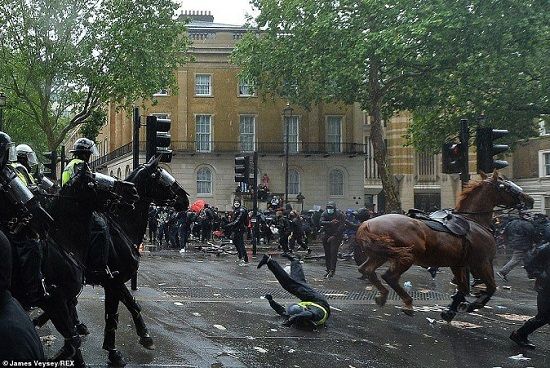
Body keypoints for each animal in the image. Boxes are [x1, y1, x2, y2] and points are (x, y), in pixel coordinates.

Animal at [358, 171, 536, 320]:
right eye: (507, 186)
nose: (530, 199)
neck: (474, 221)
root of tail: (366, 224)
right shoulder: (482, 262)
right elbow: (491, 287)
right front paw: (473, 305)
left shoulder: (458, 264)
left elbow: (463, 288)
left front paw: (450, 311)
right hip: (406, 256)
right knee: (389, 276)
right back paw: (407, 303)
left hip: (380, 255)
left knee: (366, 269)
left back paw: (382, 295)